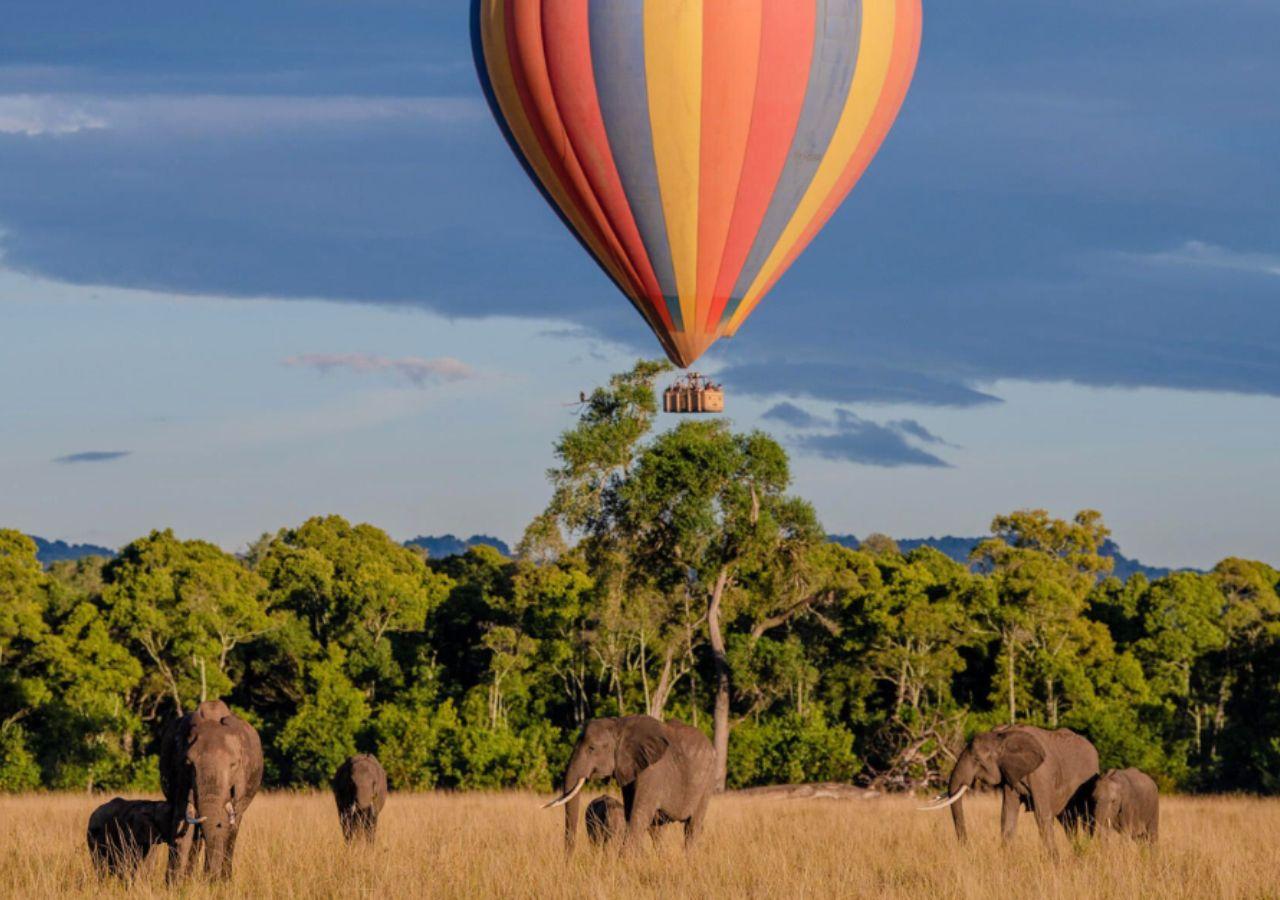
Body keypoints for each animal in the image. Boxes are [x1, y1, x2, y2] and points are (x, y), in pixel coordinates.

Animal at [159, 699, 263, 882]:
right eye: (189, 764)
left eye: (233, 765)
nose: (210, 879)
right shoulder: (179, 774)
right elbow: (182, 824)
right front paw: (176, 884)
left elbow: (223, 828)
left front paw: (213, 883)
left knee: (232, 832)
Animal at [545, 715, 715, 854]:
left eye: (591, 748)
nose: (568, 863)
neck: (619, 726)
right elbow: (631, 813)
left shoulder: (653, 771)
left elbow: (638, 816)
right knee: (657, 830)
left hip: (706, 783)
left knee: (692, 827)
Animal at [921, 725, 1099, 856]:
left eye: (977, 759)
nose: (966, 848)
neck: (1003, 738)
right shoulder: (1008, 772)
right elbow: (1007, 814)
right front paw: (1006, 859)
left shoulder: (1042, 774)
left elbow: (1042, 815)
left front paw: (1054, 861)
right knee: (1068, 821)